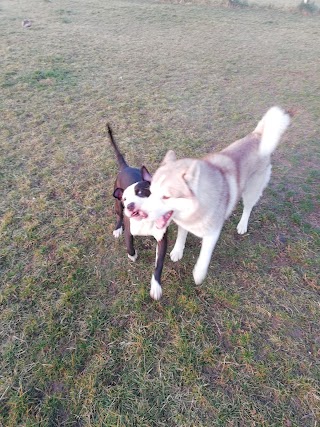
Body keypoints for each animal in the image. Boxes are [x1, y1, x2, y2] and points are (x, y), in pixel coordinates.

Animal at [109, 124, 170, 300]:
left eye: (142, 192)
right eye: (125, 199)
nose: (129, 206)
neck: (146, 221)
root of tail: (126, 167)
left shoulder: (162, 239)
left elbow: (158, 265)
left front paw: (156, 287)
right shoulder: (129, 231)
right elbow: (129, 245)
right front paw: (133, 255)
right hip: (117, 205)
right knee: (118, 216)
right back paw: (117, 229)